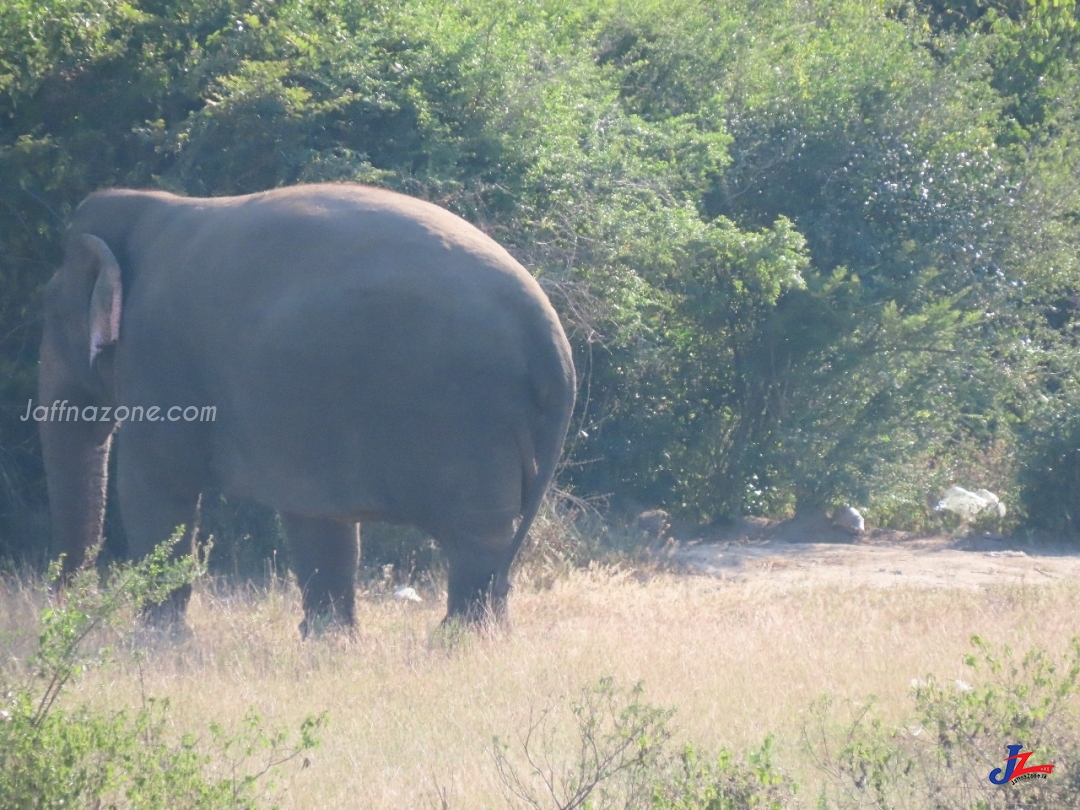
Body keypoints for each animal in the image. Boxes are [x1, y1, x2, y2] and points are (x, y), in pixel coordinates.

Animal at [35, 183, 574, 635]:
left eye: (51, 314)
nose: (62, 607)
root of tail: (551, 339)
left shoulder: (158, 357)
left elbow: (155, 487)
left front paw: (154, 641)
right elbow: (316, 515)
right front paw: (329, 642)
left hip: (468, 414)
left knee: (476, 536)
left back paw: (456, 642)